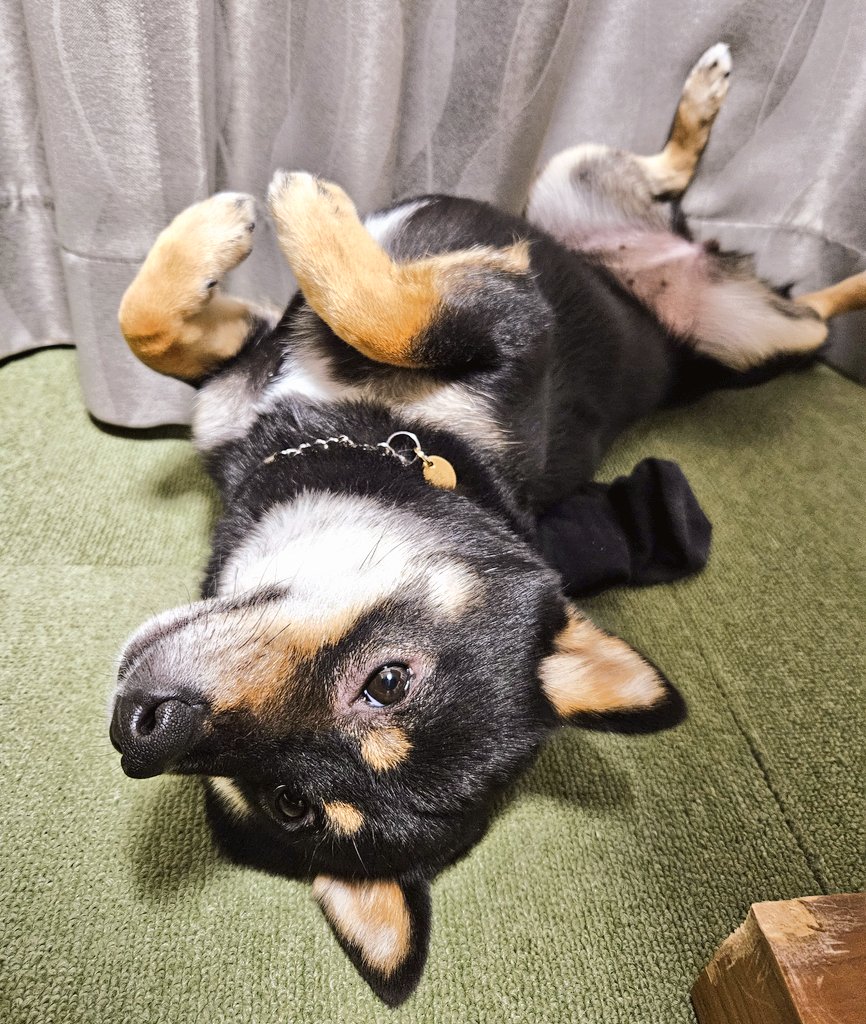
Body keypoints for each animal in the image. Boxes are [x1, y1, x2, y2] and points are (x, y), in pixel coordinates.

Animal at [110, 44, 866, 1003]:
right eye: (391, 681)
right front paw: (223, 230)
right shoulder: (245, 371)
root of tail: (681, 331)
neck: (382, 442)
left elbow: (389, 314)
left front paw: (297, 211)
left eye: (290, 799)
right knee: (701, 210)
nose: (141, 730)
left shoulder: (514, 318)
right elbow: (153, 326)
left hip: (751, 335)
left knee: (804, 309)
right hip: (577, 188)